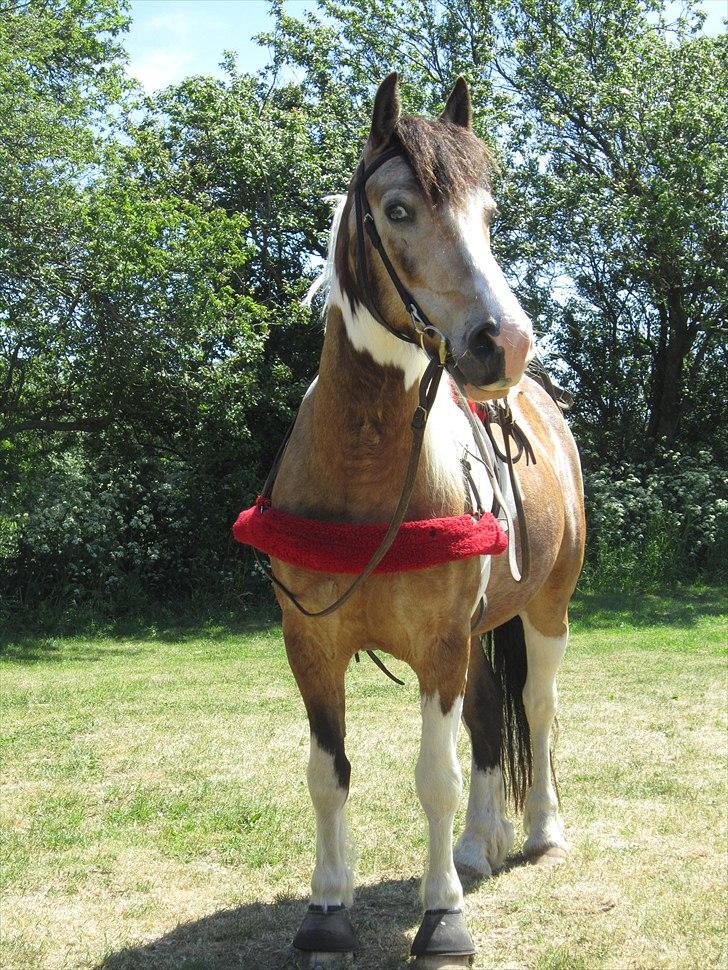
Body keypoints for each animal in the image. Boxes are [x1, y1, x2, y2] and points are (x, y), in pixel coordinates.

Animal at [262, 73, 584, 960]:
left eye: (489, 213)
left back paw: (538, 831)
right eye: (399, 208)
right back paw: (479, 843)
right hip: (474, 637)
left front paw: (441, 917)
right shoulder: (312, 647)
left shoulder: (439, 643)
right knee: (488, 717)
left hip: (545, 611)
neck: (365, 470)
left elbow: (434, 778)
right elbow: (327, 775)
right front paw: (327, 908)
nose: (503, 343)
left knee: (535, 710)